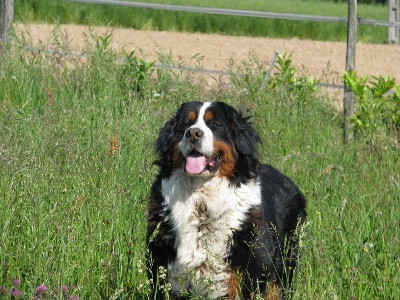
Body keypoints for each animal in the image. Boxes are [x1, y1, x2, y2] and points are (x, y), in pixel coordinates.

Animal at [147, 102, 306, 298]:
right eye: (185, 124)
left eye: (215, 124)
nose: (193, 133)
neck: (202, 201)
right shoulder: (163, 268)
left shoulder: (249, 272)